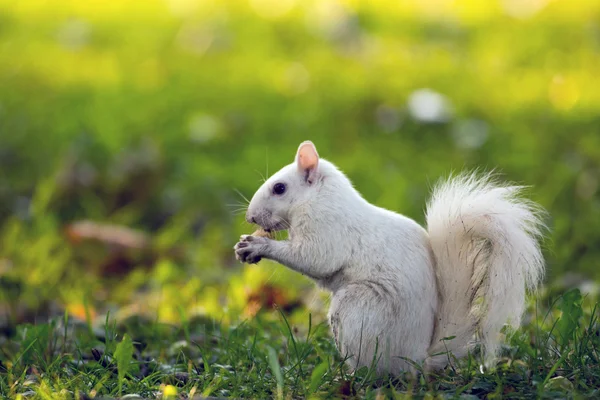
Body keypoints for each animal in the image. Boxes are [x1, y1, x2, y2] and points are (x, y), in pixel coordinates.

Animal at [234, 140, 548, 376]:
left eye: (279, 188)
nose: (250, 217)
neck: (319, 197)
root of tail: (416, 359)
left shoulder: (325, 228)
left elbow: (313, 258)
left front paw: (258, 245)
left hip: (358, 311)